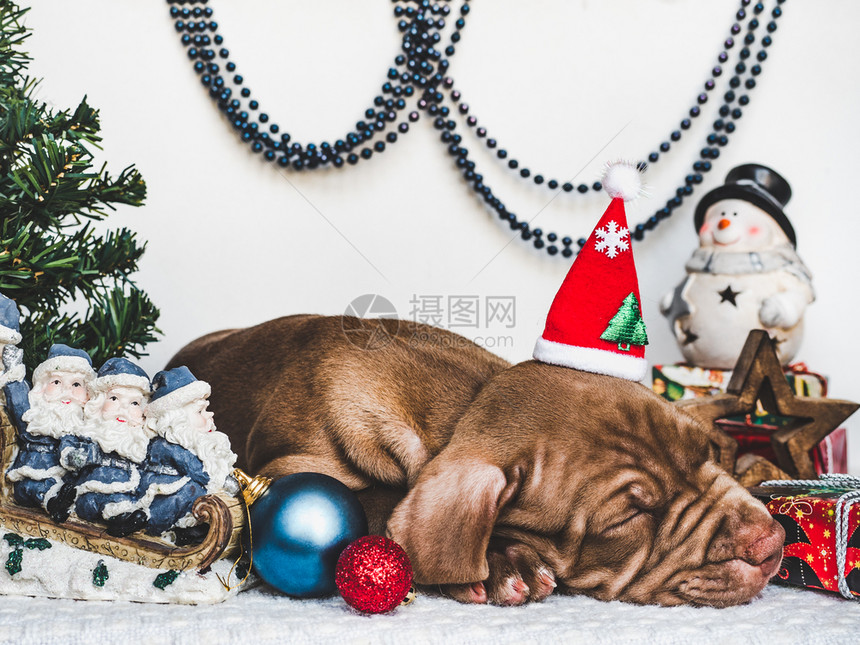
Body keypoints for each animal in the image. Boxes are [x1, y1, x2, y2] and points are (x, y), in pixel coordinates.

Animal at [168, 314, 788, 608]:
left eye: (706, 453)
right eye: (628, 519)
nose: (772, 543)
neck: (463, 404)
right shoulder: (283, 468)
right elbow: (375, 501)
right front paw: (500, 562)